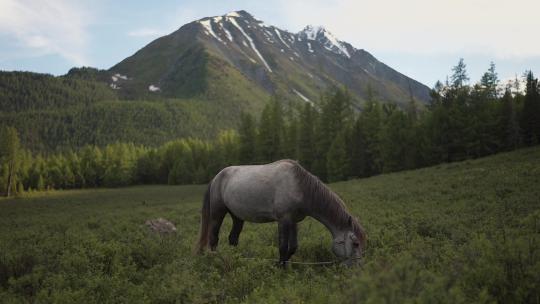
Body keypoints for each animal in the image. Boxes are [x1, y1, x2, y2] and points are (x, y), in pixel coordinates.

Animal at [195, 159, 368, 266]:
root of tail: (216, 178)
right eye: (356, 243)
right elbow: (283, 247)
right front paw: (279, 268)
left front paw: (285, 265)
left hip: (237, 216)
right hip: (218, 213)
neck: (299, 186)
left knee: (233, 238)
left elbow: (293, 247)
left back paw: (236, 259)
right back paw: (217, 260)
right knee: (213, 238)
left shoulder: (294, 221)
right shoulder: (283, 220)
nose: (358, 268)